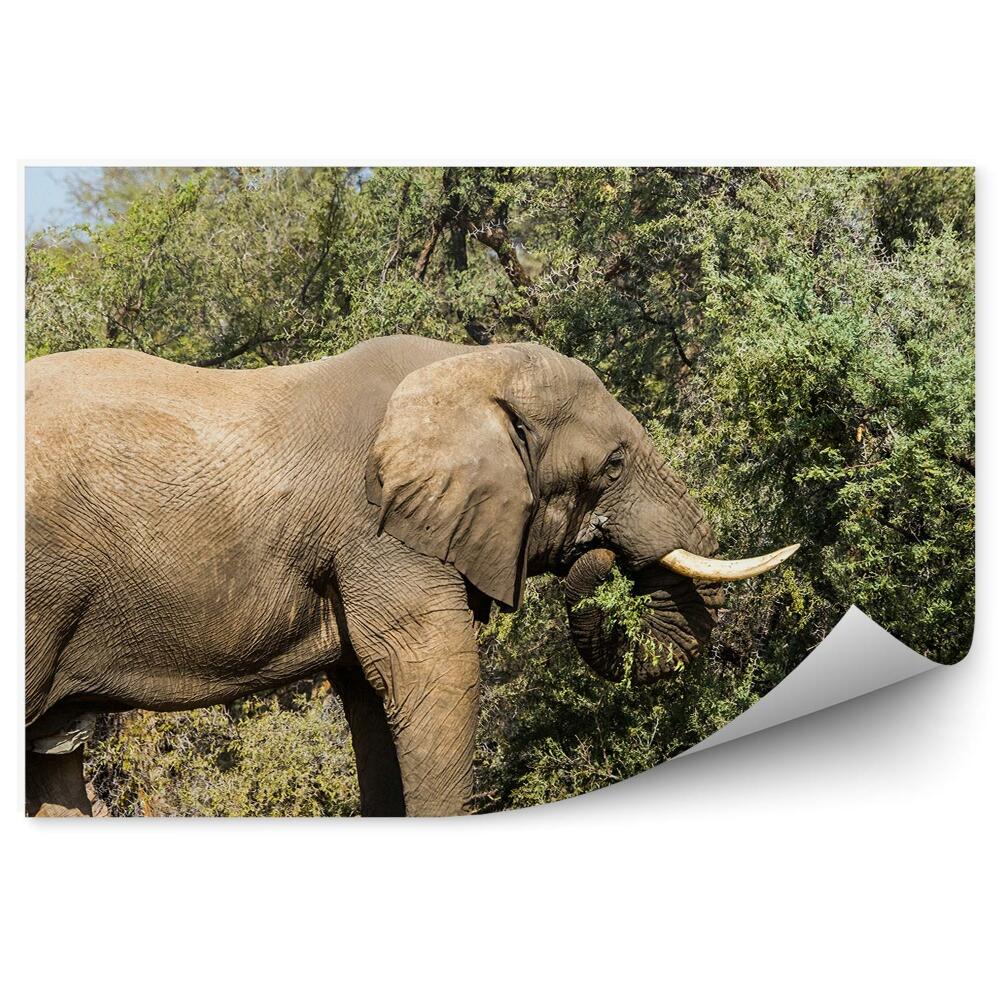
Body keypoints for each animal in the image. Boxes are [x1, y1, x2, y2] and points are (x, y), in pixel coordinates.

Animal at [25, 334, 797, 816]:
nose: (599, 552)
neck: (467, 370)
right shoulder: (378, 532)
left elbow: (373, 701)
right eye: (611, 465)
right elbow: (431, 676)